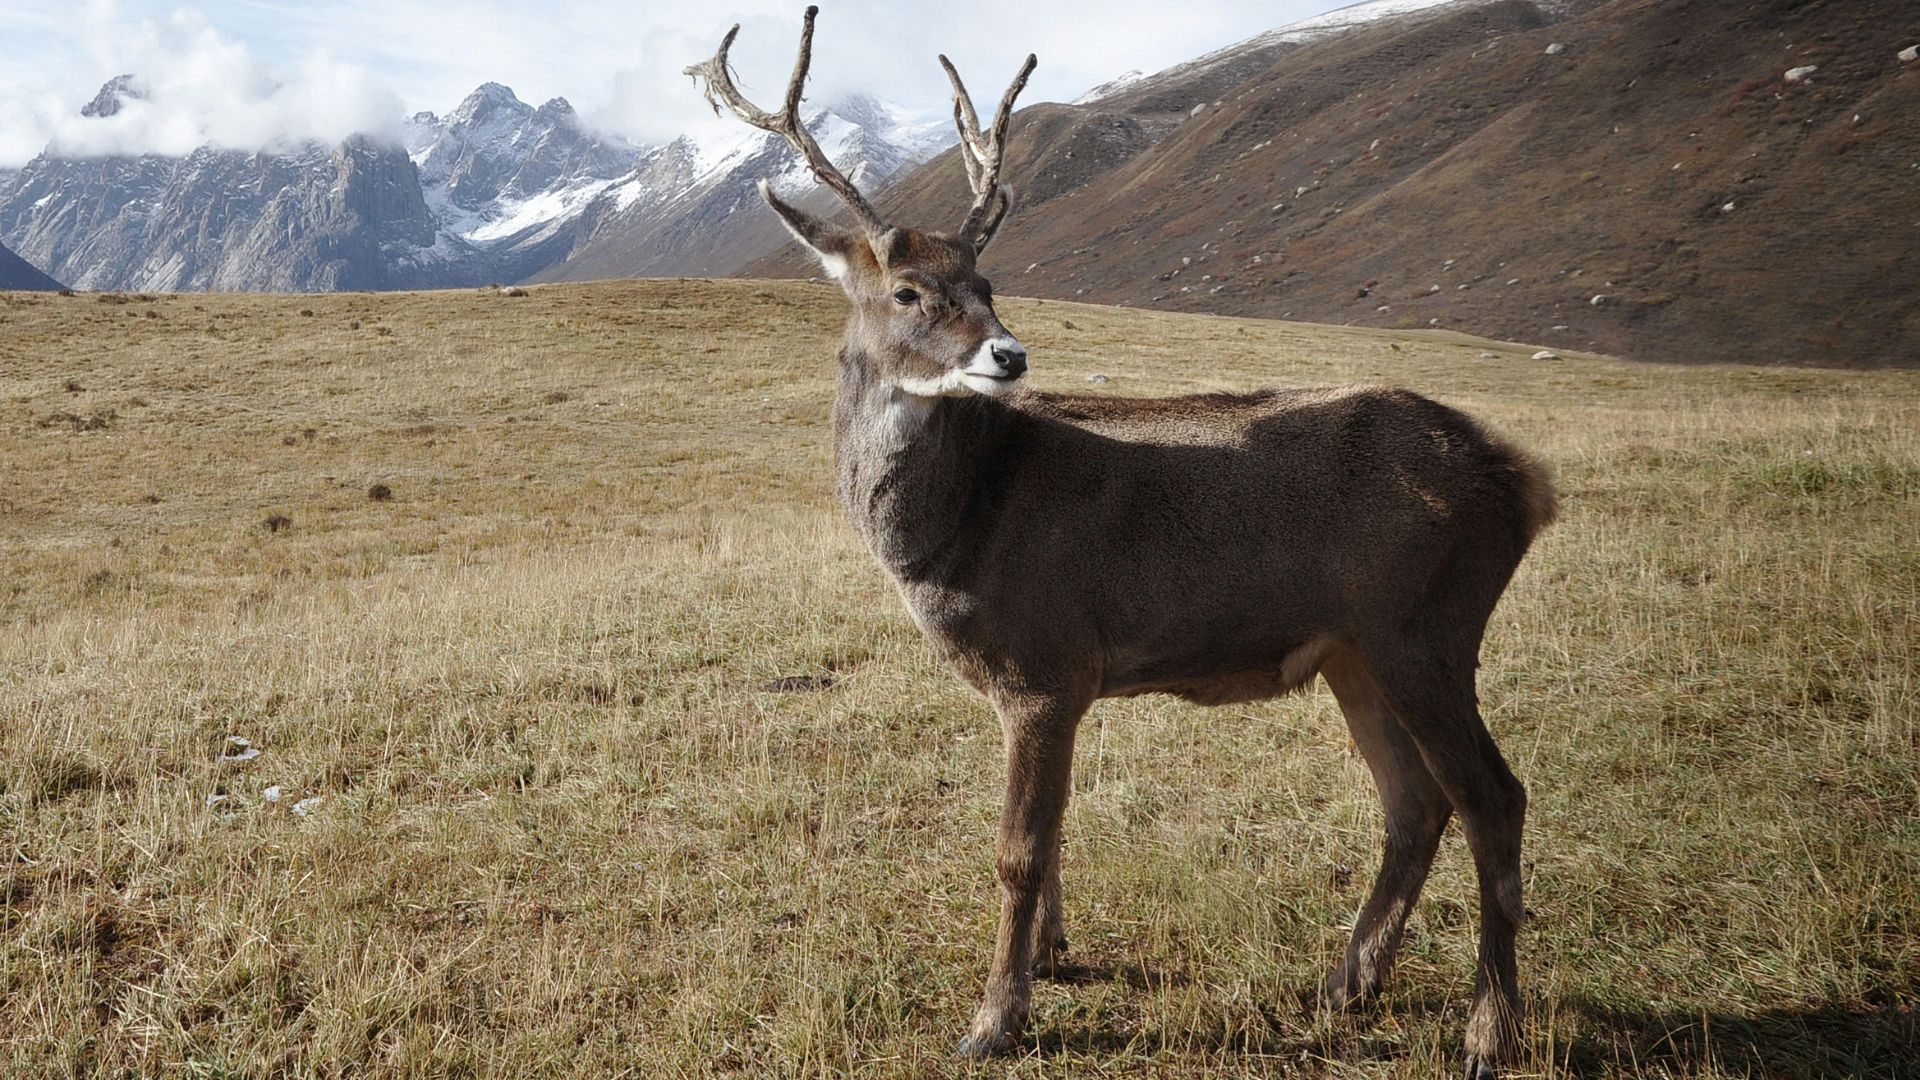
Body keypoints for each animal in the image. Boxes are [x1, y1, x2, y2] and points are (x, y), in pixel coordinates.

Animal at [687, 9, 1556, 1078]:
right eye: (907, 292)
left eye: (987, 279)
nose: (1009, 353)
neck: (957, 531)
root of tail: (1523, 482)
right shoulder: (1047, 683)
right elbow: (1053, 833)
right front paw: (1051, 959)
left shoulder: (1045, 662)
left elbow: (1018, 850)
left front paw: (995, 1018)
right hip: (1357, 650)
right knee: (1415, 803)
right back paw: (1348, 982)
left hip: (1428, 627)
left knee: (1494, 798)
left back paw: (1488, 1029)